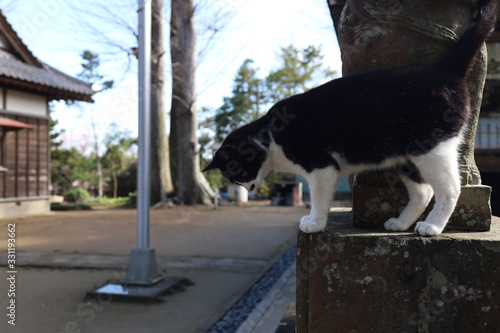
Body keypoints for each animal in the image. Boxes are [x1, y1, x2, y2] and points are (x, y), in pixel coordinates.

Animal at [202, 0, 496, 236]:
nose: (249, 188)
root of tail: (446, 71)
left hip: (433, 149)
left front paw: (315, 223)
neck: (273, 137)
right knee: (423, 191)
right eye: (236, 178)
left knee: (450, 189)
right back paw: (400, 224)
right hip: (408, 157)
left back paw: (432, 227)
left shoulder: (322, 168)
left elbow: (319, 199)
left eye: (241, 171)